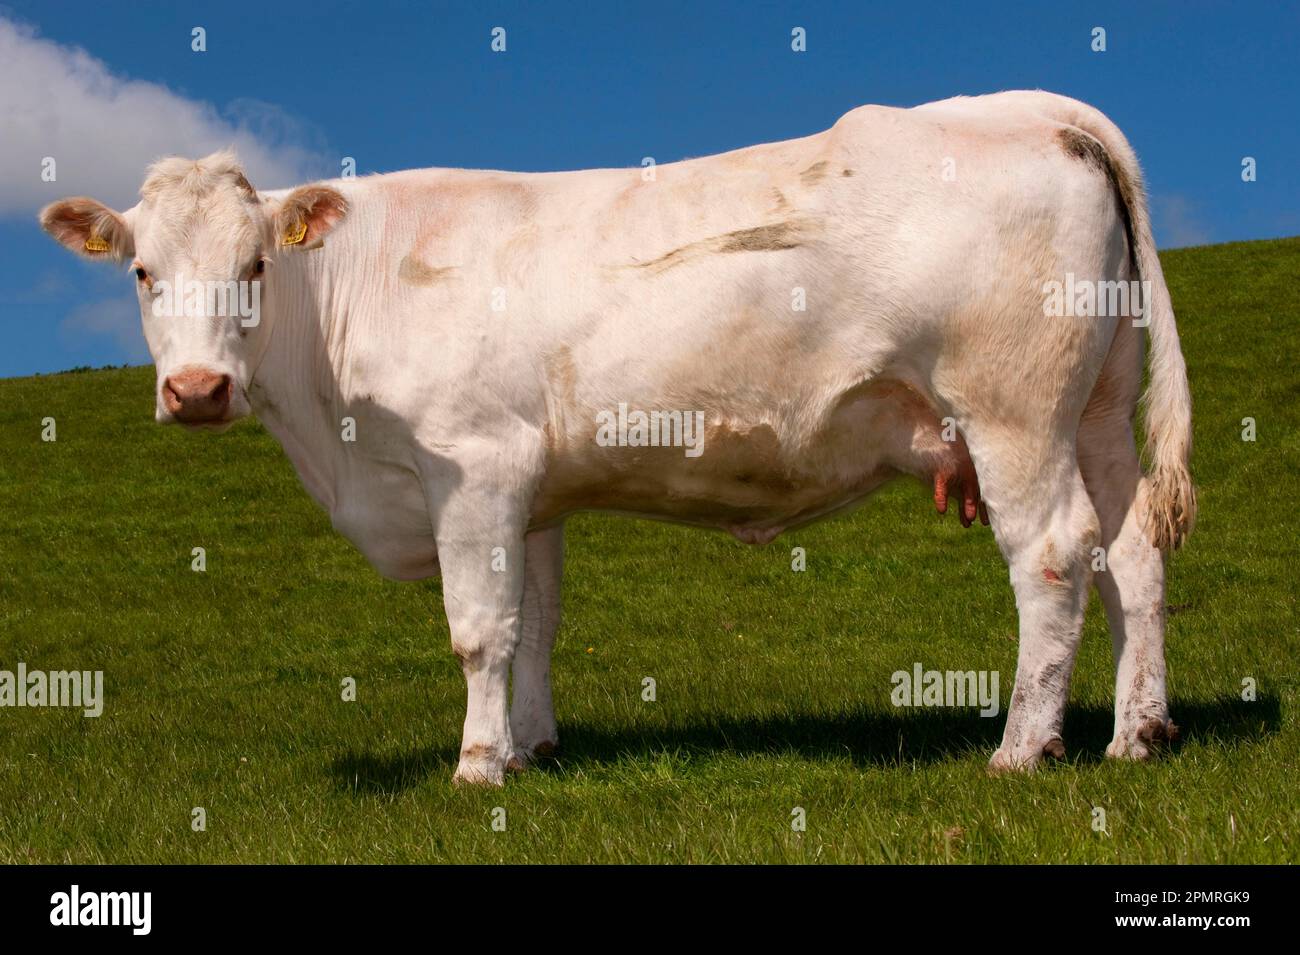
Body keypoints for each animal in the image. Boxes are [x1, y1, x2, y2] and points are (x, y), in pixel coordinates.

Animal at [40, 90, 1194, 785]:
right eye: (140, 271)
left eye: (254, 266)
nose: (195, 390)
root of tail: (1029, 107)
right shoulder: (531, 490)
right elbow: (535, 623)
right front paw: (531, 746)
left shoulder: (472, 468)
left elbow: (477, 628)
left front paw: (476, 765)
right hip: (1097, 412)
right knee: (1131, 551)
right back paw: (1135, 733)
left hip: (1013, 415)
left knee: (1053, 560)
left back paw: (1022, 748)